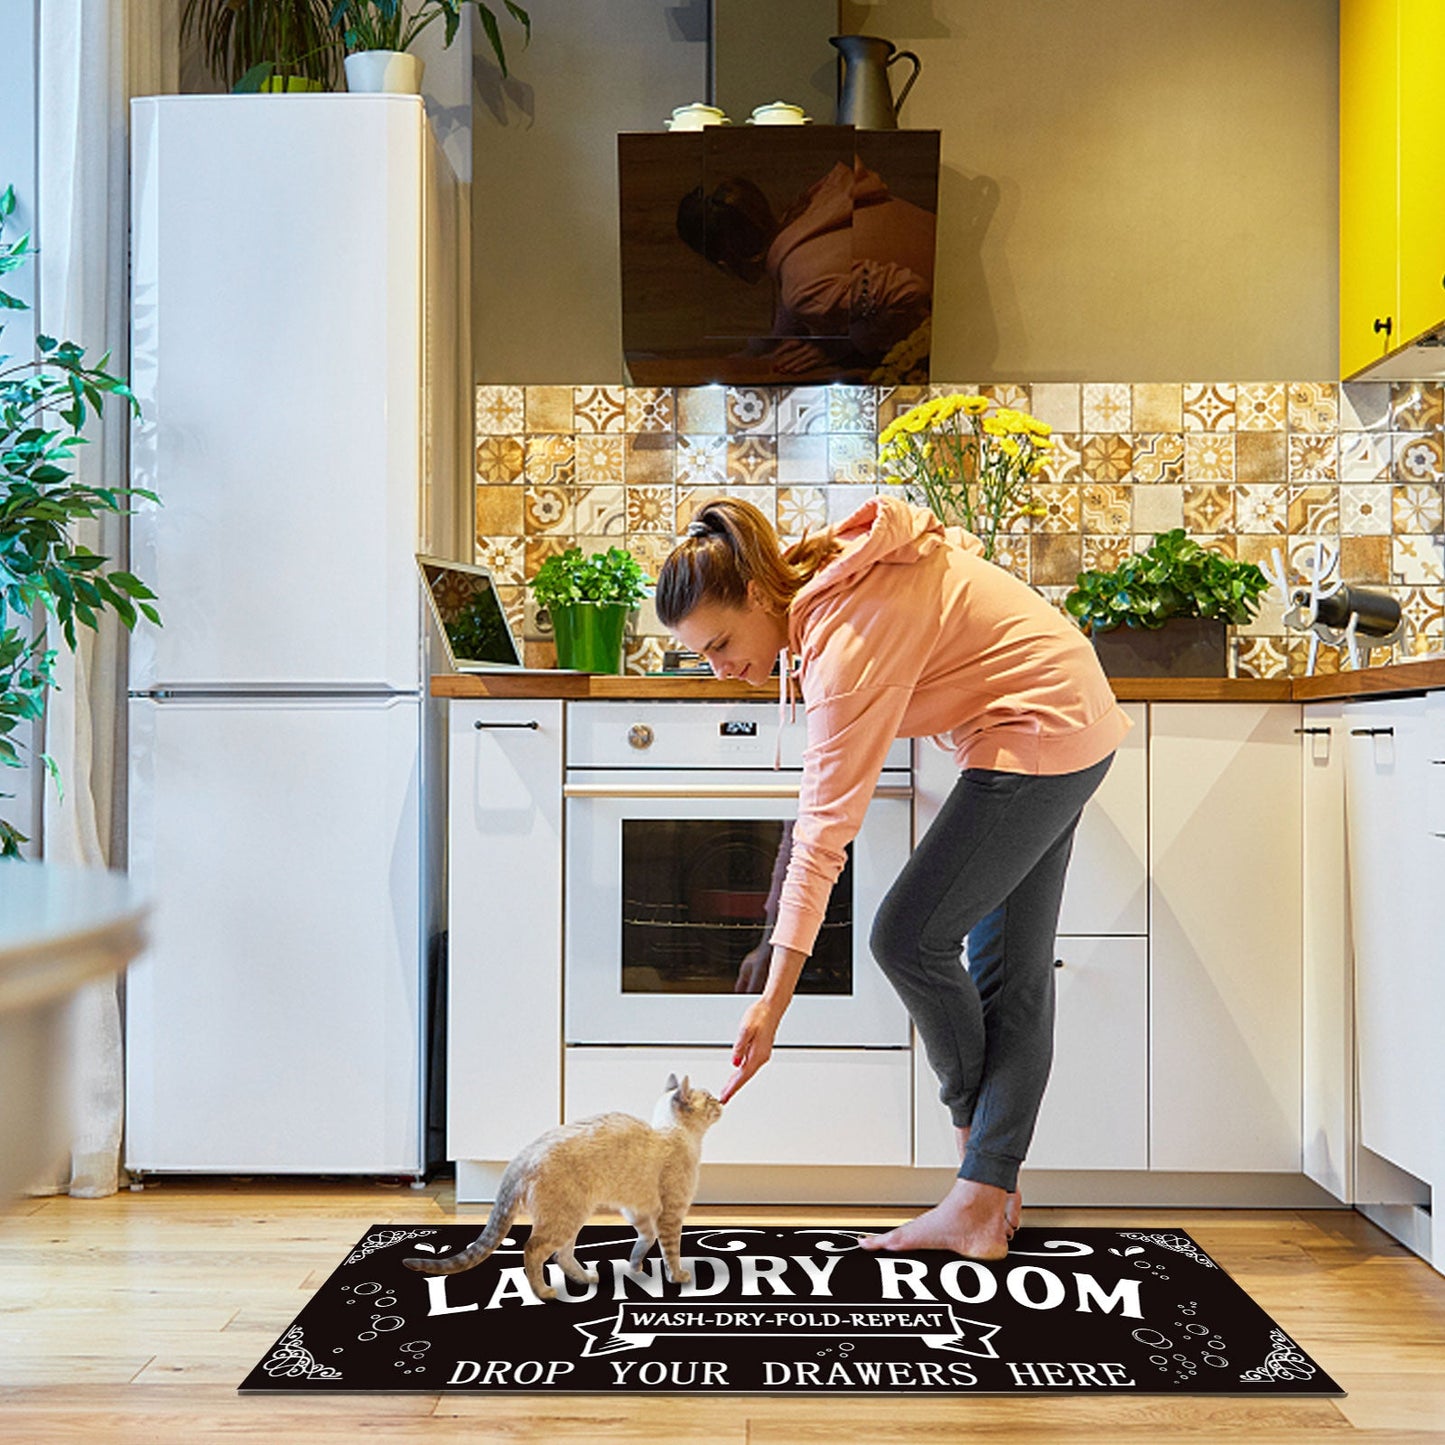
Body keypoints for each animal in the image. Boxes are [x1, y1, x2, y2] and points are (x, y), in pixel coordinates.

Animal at [401, 1075, 722, 1300]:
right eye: (709, 1098)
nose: (721, 1101)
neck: (675, 1134)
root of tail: (522, 1156)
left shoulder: (637, 1211)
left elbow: (645, 1239)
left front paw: (635, 1267)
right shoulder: (671, 1213)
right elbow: (671, 1250)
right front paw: (678, 1276)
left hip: (573, 1217)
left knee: (562, 1254)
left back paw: (585, 1278)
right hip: (566, 1217)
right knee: (534, 1249)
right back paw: (543, 1292)